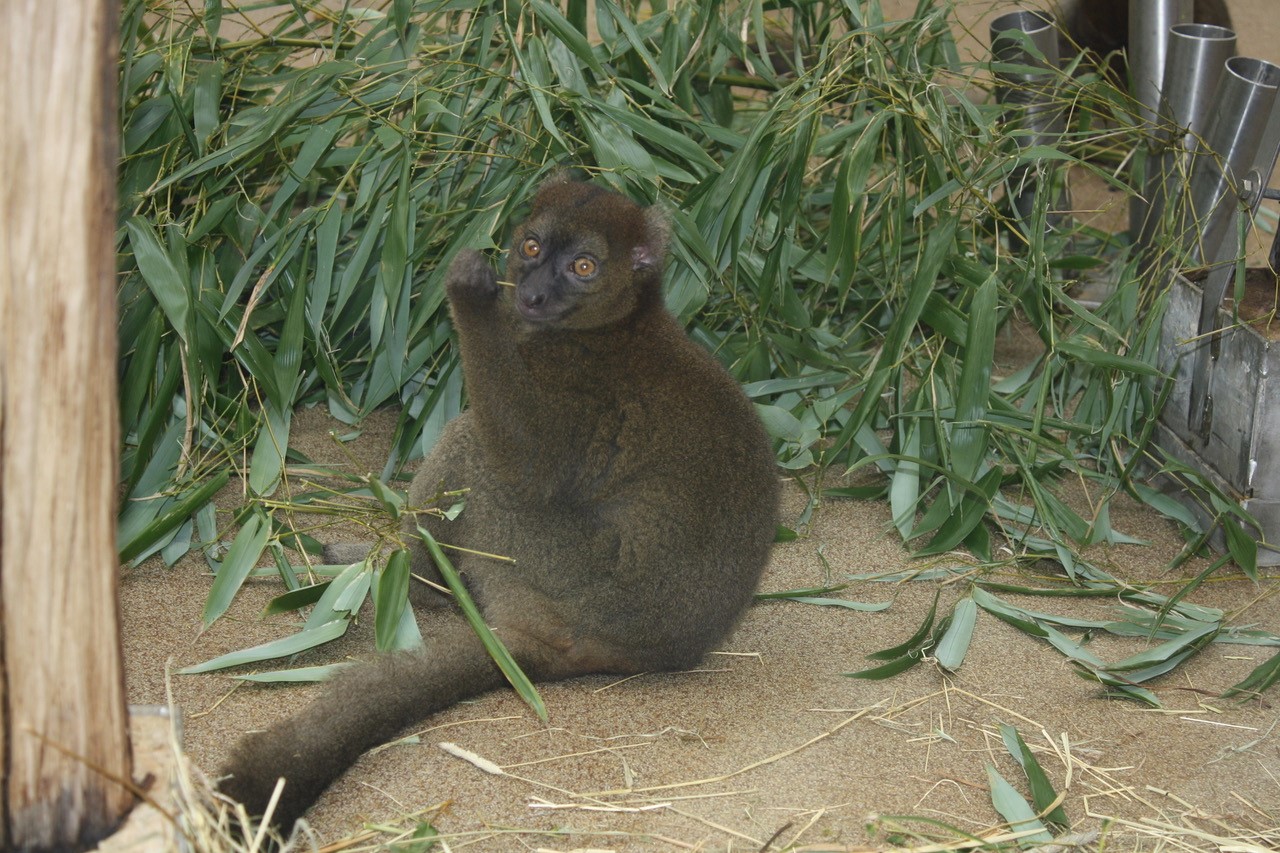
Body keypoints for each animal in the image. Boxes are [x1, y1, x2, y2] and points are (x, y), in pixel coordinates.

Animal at [217, 176, 781, 828]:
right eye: (532, 247)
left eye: (583, 266)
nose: (531, 294)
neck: (614, 326)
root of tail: (610, 650)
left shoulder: (570, 384)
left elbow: (527, 460)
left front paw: (471, 301)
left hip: (550, 567)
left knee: (476, 446)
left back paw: (402, 579)